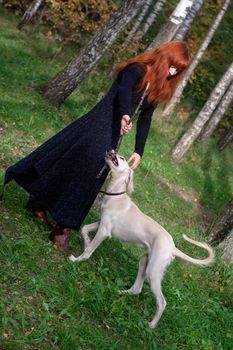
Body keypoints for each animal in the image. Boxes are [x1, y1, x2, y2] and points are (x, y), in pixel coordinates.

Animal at [69, 150, 215, 328]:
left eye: (122, 158)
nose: (112, 150)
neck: (117, 197)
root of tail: (172, 247)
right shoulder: (101, 223)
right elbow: (84, 229)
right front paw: (86, 242)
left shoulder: (104, 231)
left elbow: (89, 250)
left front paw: (77, 259)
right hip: (144, 261)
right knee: (137, 289)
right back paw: (122, 292)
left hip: (153, 271)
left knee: (162, 302)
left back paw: (151, 326)